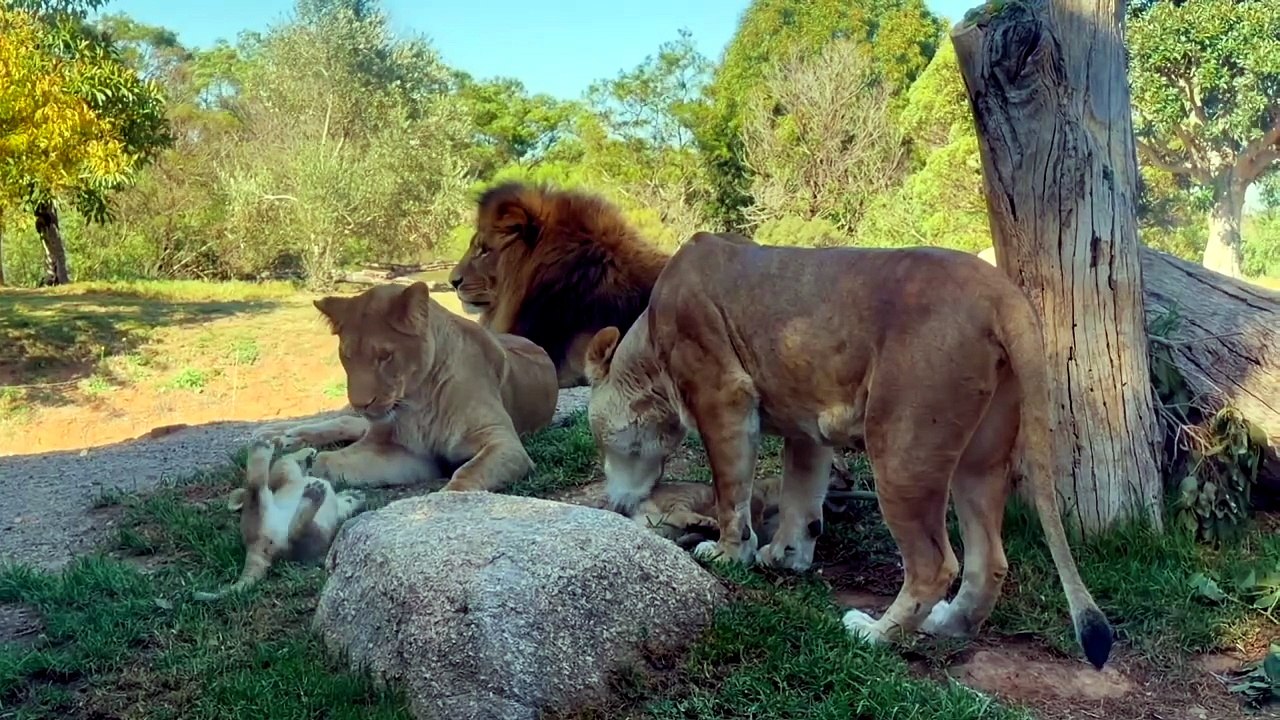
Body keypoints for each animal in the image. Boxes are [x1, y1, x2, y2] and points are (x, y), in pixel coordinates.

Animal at [194, 439, 366, 601]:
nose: (359, 494)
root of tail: (255, 547)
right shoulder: (286, 476)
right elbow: (285, 461)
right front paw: (308, 452)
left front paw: (353, 496)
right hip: (309, 533)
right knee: (291, 529)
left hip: (283, 523)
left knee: (257, 491)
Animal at [256, 281, 560, 492]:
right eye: (346, 356)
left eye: (385, 356)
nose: (361, 403)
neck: (420, 401)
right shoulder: (400, 448)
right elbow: (327, 461)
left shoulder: (503, 442)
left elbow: (466, 475)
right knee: (345, 422)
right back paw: (278, 436)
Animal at [583, 231, 1115, 670]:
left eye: (603, 444)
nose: (617, 504)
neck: (648, 351)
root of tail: (1001, 291)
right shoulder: (805, 424)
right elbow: (801, 496)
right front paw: (786, 556)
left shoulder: (723, 395)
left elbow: (730, 490)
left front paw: (730, 554)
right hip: (978, 459)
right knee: (988, 560)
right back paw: (946, 625)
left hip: (900, 447)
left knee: (934, 564)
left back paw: (873, 634)